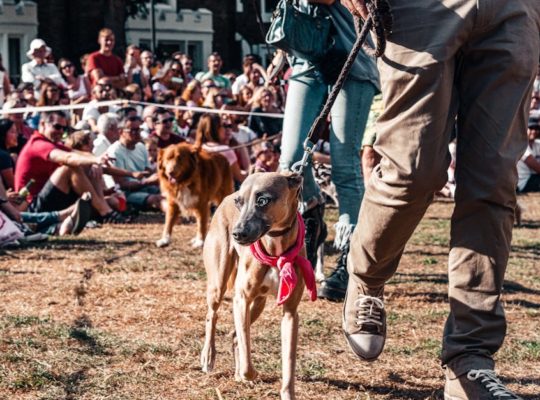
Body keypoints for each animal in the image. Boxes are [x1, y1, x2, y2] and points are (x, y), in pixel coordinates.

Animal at [201, 171, 316, 400]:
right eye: (239, 202)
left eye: (263, 200)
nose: (237, 233)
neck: (276, 253)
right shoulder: (241, 300)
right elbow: (247, 359)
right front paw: (249, 373)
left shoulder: (290, 312)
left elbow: (289, 361)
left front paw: (287, 393)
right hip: (219, 284)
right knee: (213, 316)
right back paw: (208, 356)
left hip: (259, 303)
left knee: (235, 335)